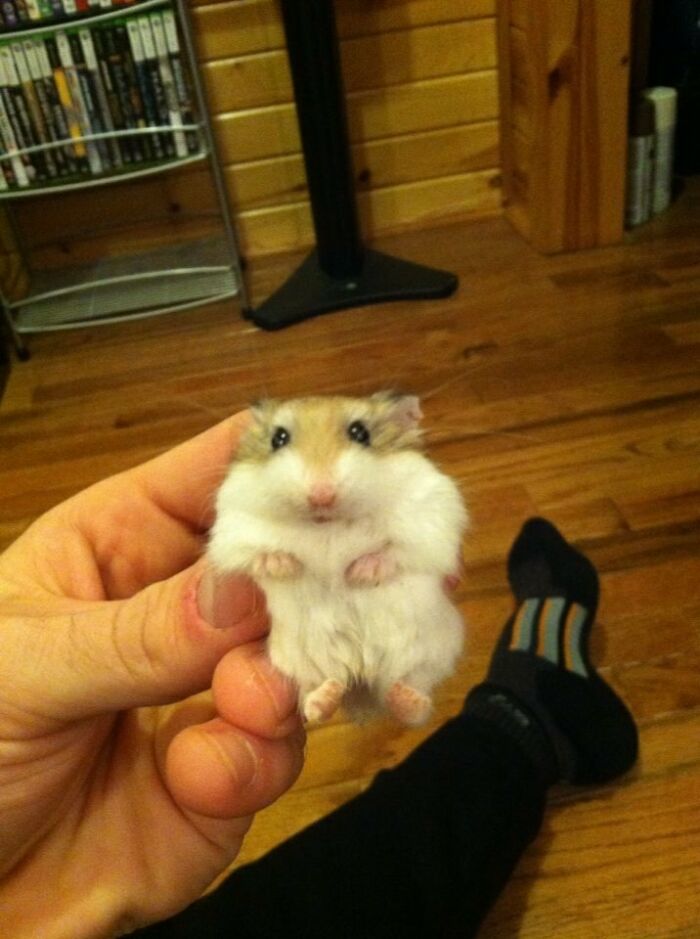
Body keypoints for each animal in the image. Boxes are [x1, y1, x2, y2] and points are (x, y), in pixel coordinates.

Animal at [207, 392, 468, 726]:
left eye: (361, 433)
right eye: (278, 438)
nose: (321, 495)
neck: (327, 524)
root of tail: (361, 679)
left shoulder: (432, 520)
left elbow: (394, 552)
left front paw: (356, 573)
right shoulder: (233, 529)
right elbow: (258, 553)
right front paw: (287, 567)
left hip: (435, 649)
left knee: (414, 697)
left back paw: (406, 699)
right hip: (293, 659)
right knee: (313, 695)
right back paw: (326, 697)